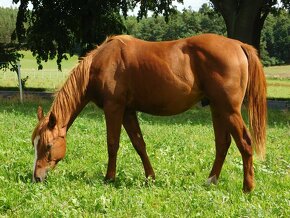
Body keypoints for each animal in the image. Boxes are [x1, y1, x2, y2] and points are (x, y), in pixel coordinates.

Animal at [32, 33, 268, 192]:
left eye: (48, 145)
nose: (37, 177)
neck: (101, 63)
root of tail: (238, 45)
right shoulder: (128, 111)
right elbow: (139, 144)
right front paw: (150, 177)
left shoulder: (114, 108)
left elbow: (112, 144)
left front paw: (109, 178)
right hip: (217, 108)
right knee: (223, 144)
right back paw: (211, 181)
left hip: (229, 110)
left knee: (245, 143)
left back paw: (247, 187)